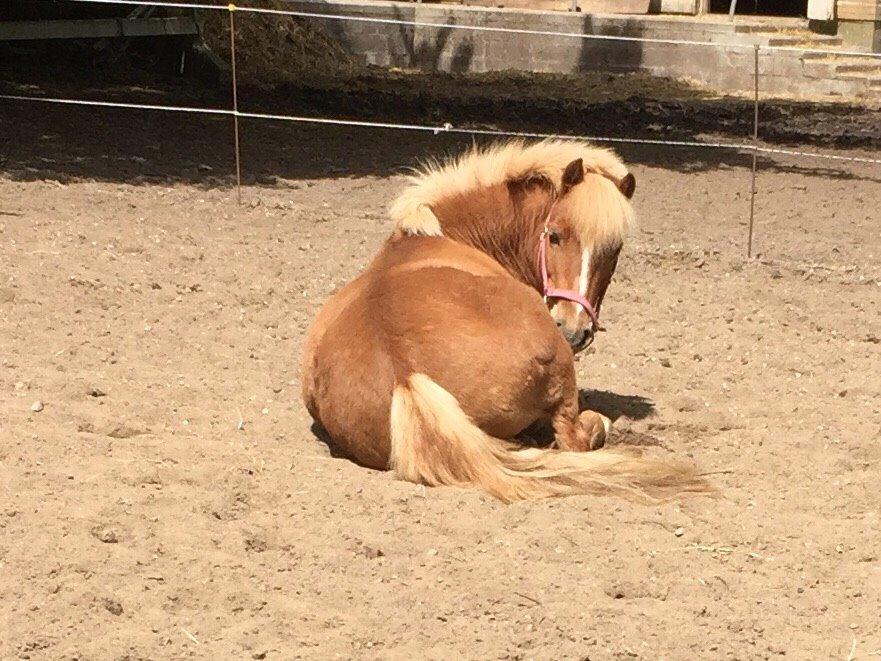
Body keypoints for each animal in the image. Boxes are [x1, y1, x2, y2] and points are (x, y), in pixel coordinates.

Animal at [301, 139, 710, 502]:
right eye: (554, 236)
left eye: (615, 248)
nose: (574, 330)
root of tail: (406, 377)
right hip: (562, 370)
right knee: (575, 437)